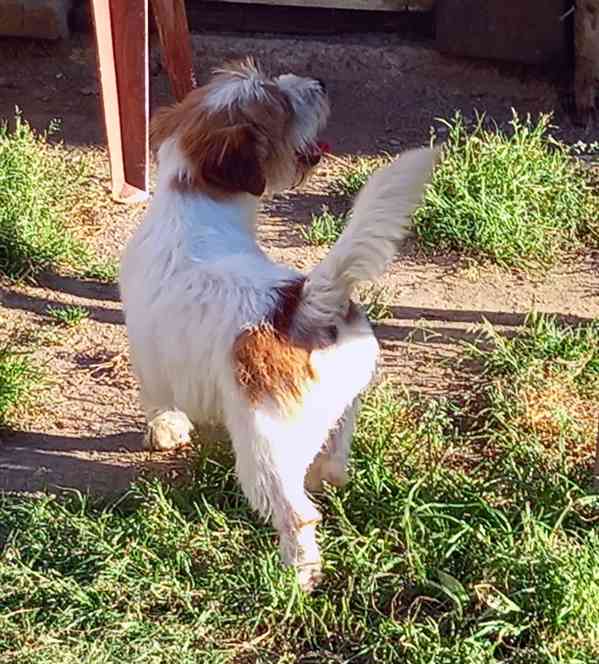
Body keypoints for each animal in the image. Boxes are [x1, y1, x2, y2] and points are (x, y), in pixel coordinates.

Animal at [119, 55, 438, 588]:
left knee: (298, 515)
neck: (189, 205)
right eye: (282, 103)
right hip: (341, 409)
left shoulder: (151, 357)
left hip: (262, 450)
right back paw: (323, 481)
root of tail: (305, 304)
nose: (320, 83)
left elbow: (158, 401)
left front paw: (166, 430)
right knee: (333, 464)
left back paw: (297, 578)